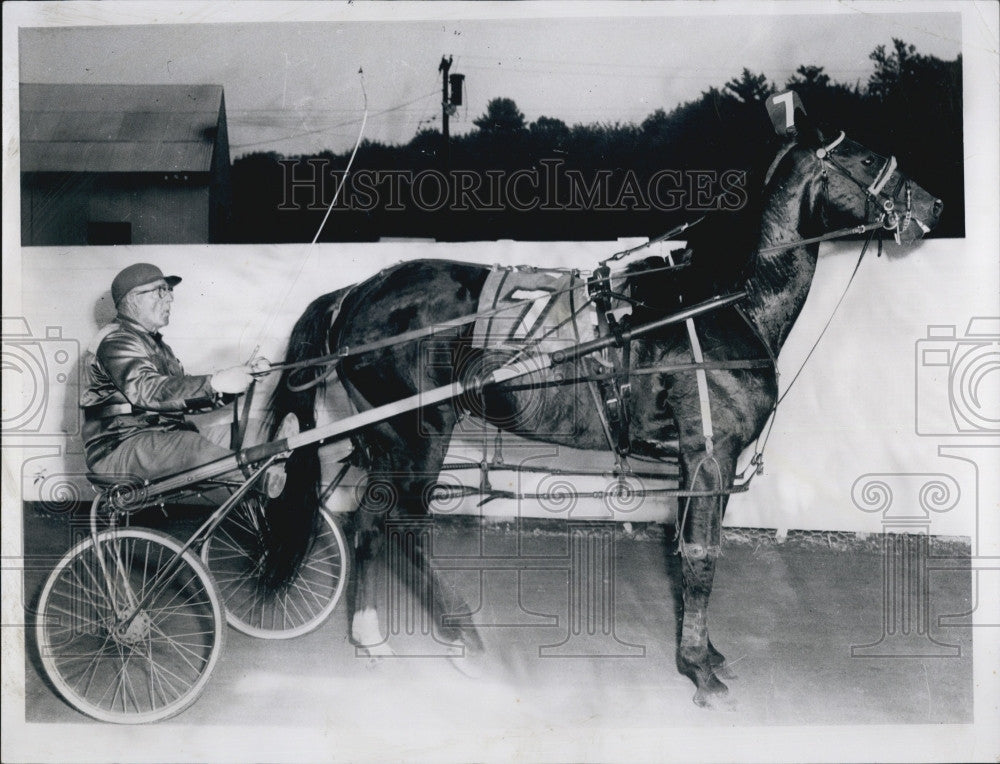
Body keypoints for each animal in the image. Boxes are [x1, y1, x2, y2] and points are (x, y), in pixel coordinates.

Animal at [264, 115, 936, 712]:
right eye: (867, 158)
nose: (931, 203)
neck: (719, 302)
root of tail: (357, 293)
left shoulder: (701, 463)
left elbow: (692, 551)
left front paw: (705, 653)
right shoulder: (709, 455)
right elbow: (700, 557)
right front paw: (698, 670)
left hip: (384, 436)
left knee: (368, 522)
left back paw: (370, 635)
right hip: (420, 432)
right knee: (404, 524)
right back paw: (461, 634)